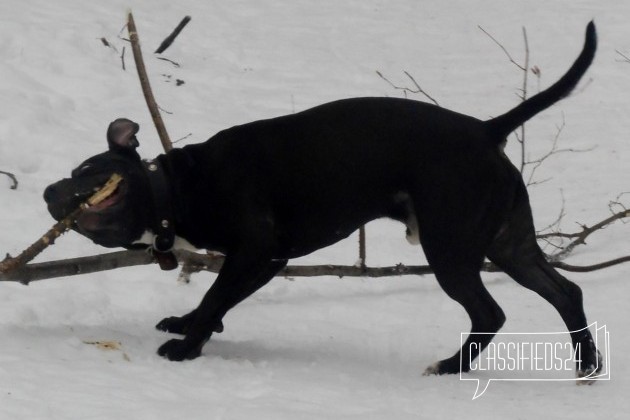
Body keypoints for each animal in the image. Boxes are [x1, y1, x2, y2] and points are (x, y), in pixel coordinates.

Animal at [45, 22, 604, 378]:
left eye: (87, 174)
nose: (49, 191)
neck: (178, 187)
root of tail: (487, 131)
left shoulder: (255, 251)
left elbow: (216, 296)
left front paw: (186, 348)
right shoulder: (266, 259)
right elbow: (218, 298)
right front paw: (190, 326)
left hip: (450, 249)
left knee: (490, 314)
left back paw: (449, 367)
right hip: (510, 245)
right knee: (566, 292)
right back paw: (587, 366)